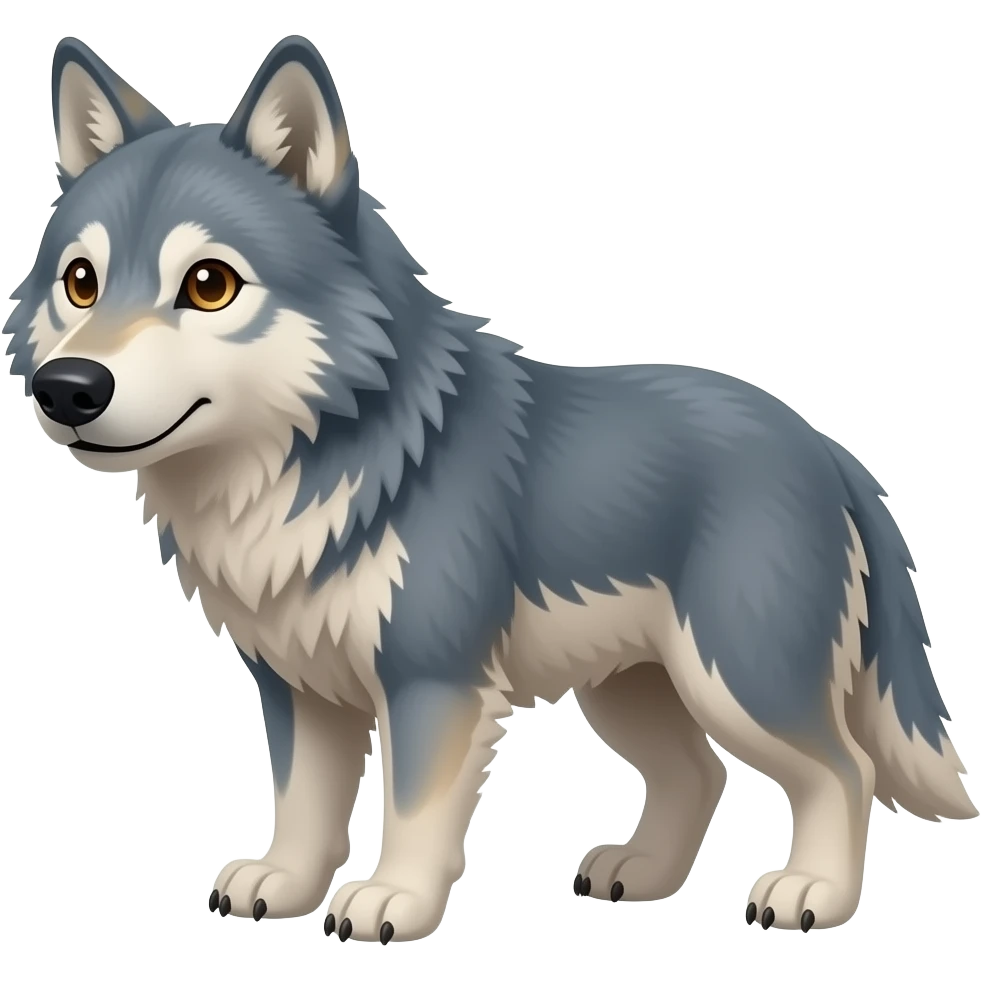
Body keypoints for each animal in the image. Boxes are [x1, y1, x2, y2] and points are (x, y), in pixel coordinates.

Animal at [3, 34, 974, 944]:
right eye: (80, 282)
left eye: (208, 284)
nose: (68, 389)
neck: (308, 463)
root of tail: (828, 449)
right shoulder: (300, 687)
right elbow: (305, 804)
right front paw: (283, 883)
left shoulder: (433, 679)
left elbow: (412, 809)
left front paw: (392, 899)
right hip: (629, 688)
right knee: (698, 772)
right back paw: (642, 872)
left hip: (737, 675)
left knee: (841, 769)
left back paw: (812, 892)